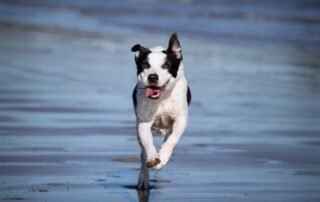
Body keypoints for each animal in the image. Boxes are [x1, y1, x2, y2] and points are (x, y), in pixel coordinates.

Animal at [131, 32, 191, 189]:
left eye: (166, 65)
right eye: (145, 65)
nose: (152, 76)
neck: (162, 98)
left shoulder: (180, 119)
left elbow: (172, 139)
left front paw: (162, 158)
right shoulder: (144, 122)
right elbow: (147, 143)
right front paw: (153, 158)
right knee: (142, 152)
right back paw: (144, 179)